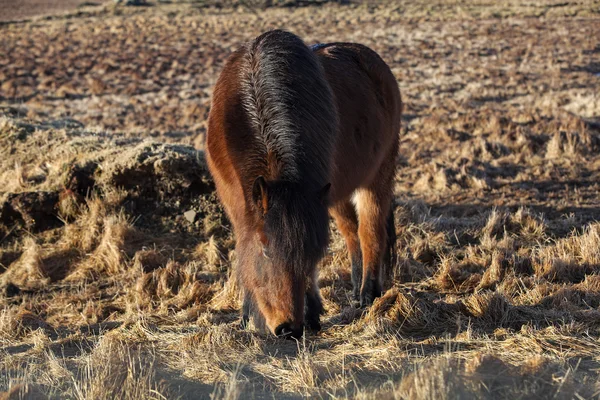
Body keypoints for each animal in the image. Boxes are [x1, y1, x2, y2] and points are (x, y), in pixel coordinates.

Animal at [207, 29, 404, 340]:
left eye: (310, 252)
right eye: (265, 248)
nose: (288, 328)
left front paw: (312, 315)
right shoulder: (238, 202)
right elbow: (244, 247)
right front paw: (246, 314)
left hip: (377, 178)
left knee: (370, 232)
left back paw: (368, 295)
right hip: (336, 194)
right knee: (351, 232)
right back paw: (355, 288)